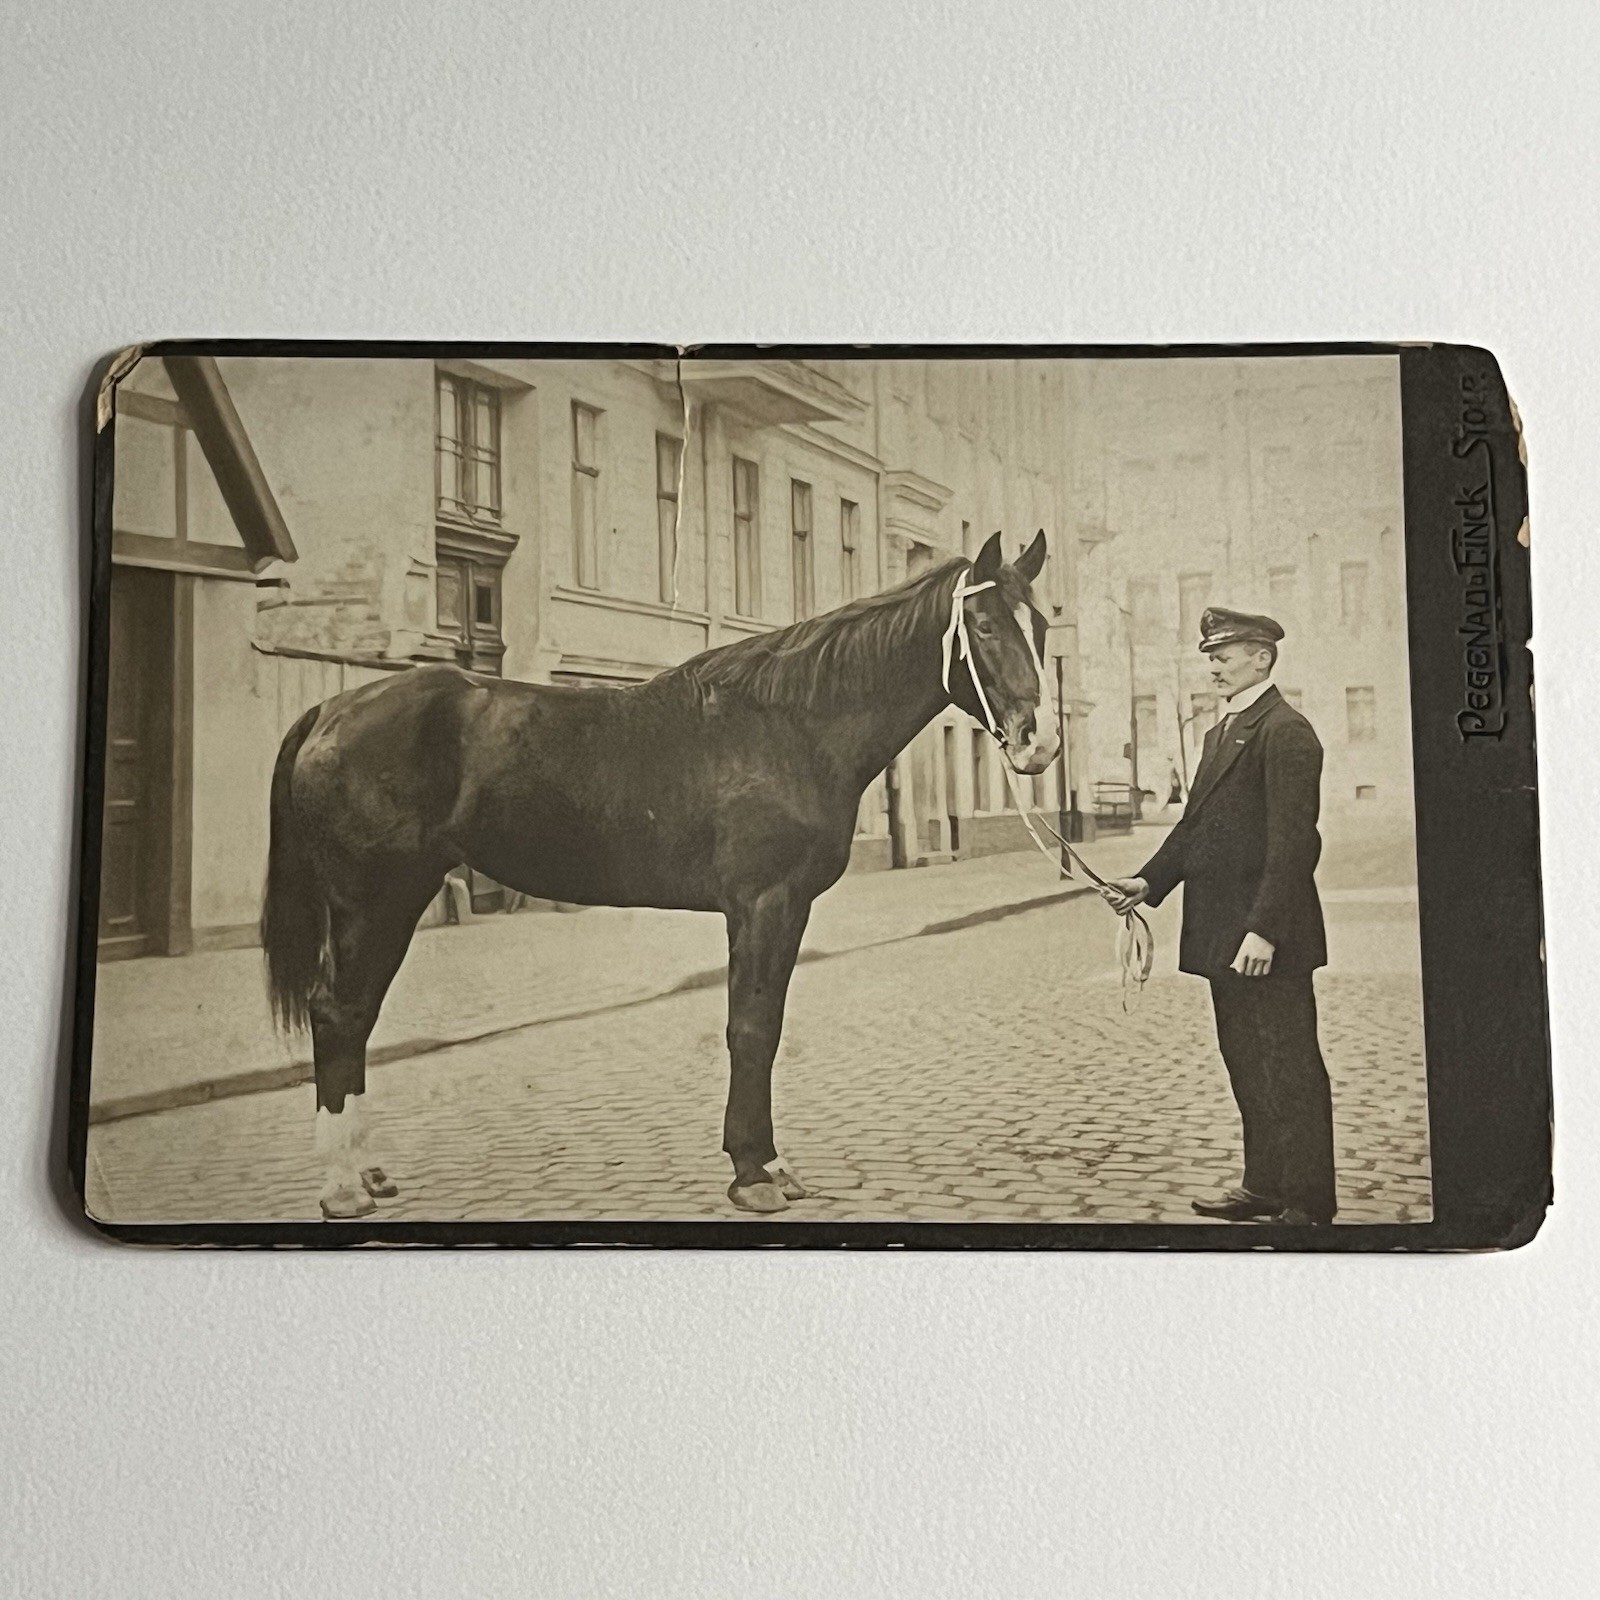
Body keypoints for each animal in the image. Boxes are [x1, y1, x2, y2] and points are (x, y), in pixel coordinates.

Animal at [261, 529, 1059, 1219]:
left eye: (1044, 625)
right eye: (984, 625)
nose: (1039, 741)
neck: (788, 723)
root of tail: (333, 707)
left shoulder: (779, 908)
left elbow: (761, 1025)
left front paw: (767, 1163)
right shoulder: (765, 902)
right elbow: (752, 1028)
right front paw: (753, 1173)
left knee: (358, 1016)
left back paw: (365, 1169)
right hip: (374, 899)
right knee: (339, 1012)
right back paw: (341, 1186)